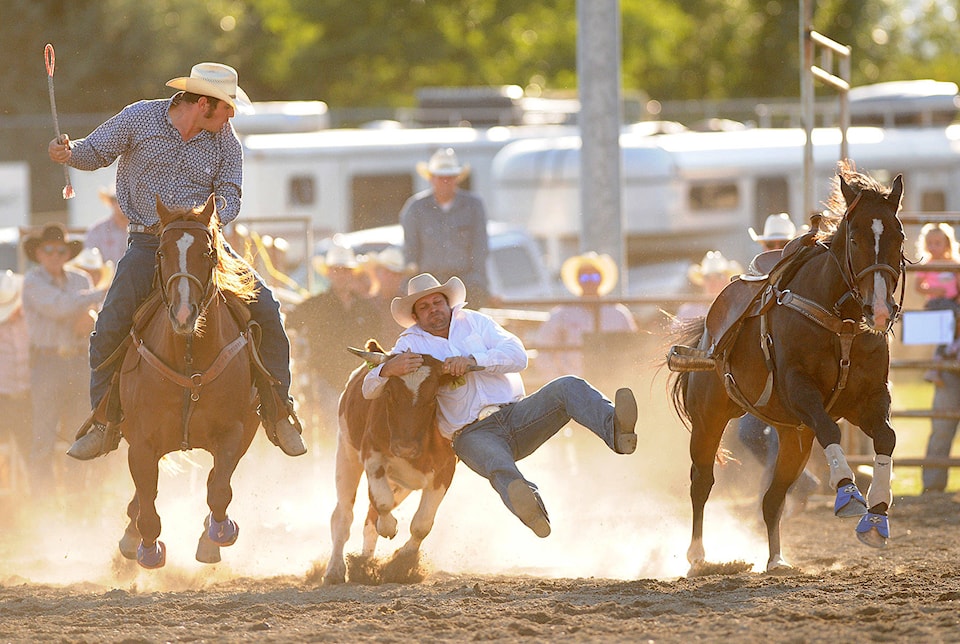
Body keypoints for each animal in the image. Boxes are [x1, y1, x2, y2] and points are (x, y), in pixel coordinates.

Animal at [116, 194, 262, 568]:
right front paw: (148, 549)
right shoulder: (140, 443)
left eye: (208, 253)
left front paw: (219, 534)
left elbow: (219, 489)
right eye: (161, 252)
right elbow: (147, 504)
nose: (183, 314)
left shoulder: (233, 433)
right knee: (142, 496)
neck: (188, 357)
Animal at [322, 340, 476, 588]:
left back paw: (364, 564)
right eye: (389, 393)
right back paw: (335, 569)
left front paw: (401, 562)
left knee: (369, 518)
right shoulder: (372, 455)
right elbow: (382, 503)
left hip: (402, 484)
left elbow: (422, 523)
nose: (405, 448)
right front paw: (389, 527)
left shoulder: (444, 470)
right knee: (343, 515)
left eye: (433, 397)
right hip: (346, 452)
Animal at [672, 161, 904, 572]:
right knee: (702, 483)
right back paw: (698, 555)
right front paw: (848, 495)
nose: (878, 310)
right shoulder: (800, 390)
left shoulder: (870, 398)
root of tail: (706, 338)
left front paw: (876, 515)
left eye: (900, 237)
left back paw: (776, 558)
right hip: (709, 419)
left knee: (773, 498)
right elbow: (831, 429)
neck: (842, 321)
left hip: (793, 436)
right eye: (854, 238)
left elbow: (886, 438)